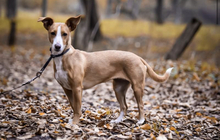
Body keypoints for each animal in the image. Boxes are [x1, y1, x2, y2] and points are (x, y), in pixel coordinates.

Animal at [38, 15, 174, 124]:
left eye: (65, 34)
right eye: (52, 33)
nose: (57, 46)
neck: (64, 56)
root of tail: (138, 57)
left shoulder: (77, 87)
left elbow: (77, 108)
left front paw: (75, 123)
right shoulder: (67, 89)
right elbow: (73, 106)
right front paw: (73, 120)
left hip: (137, 86)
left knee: (140, 104)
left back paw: (140, 121)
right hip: (118, 88)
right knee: (124, 106)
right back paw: (117, 121)